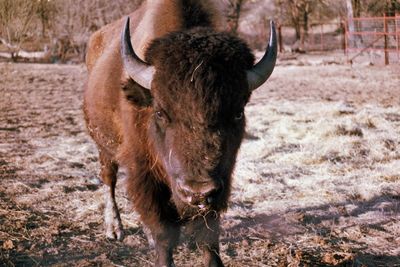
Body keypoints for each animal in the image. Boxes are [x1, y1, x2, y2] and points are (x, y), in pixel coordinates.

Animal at [83, 1, 276, 266]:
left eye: (238, 112)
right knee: (109, 178)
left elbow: (208, 239)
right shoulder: (144, 173)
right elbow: (164, 233)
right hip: (103, 145)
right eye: (160, 112)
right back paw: (114, 229)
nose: (197, 193)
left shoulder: (220, 186)